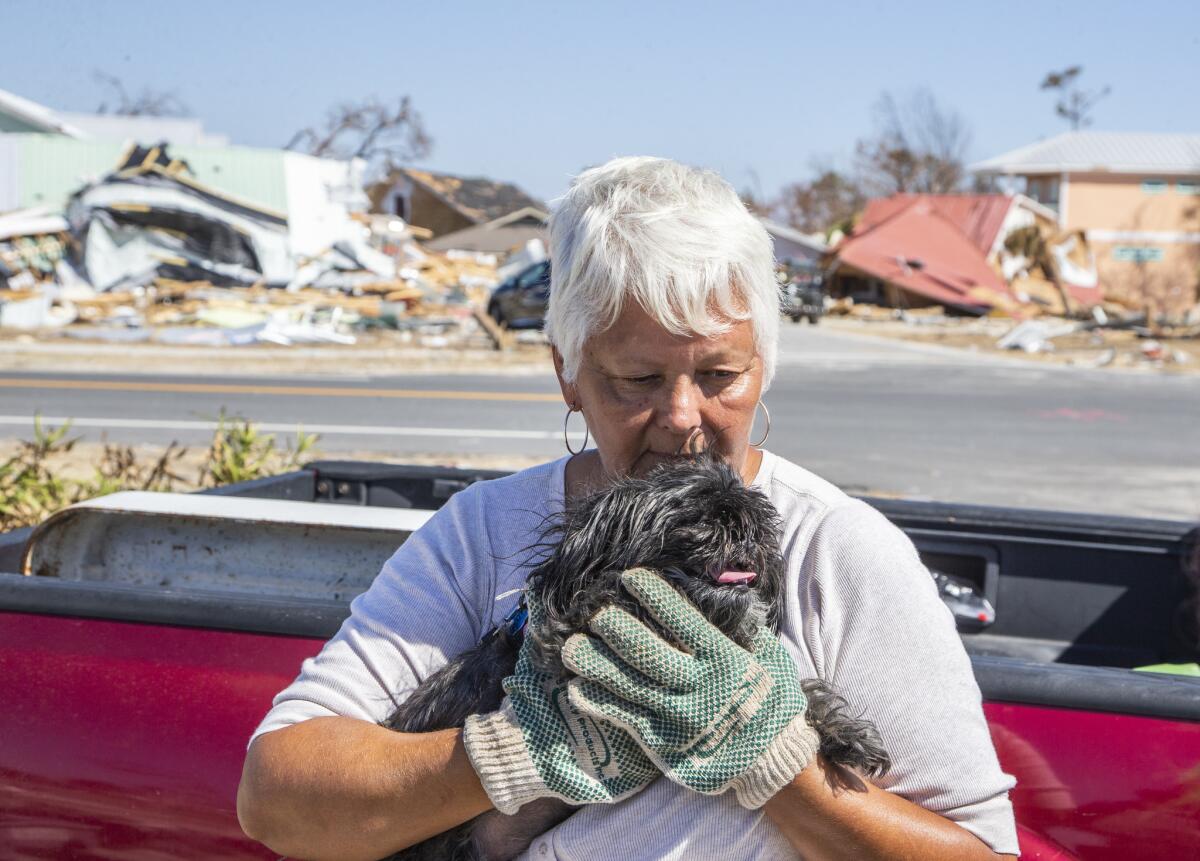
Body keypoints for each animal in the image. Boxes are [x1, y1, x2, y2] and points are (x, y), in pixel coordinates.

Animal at [381, 458, 892, 861]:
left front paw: (841, 730)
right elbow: (611, 606)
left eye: (762, 526)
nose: (745, 531)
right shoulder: (564, 640)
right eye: (697, 516)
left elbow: (785, 685)